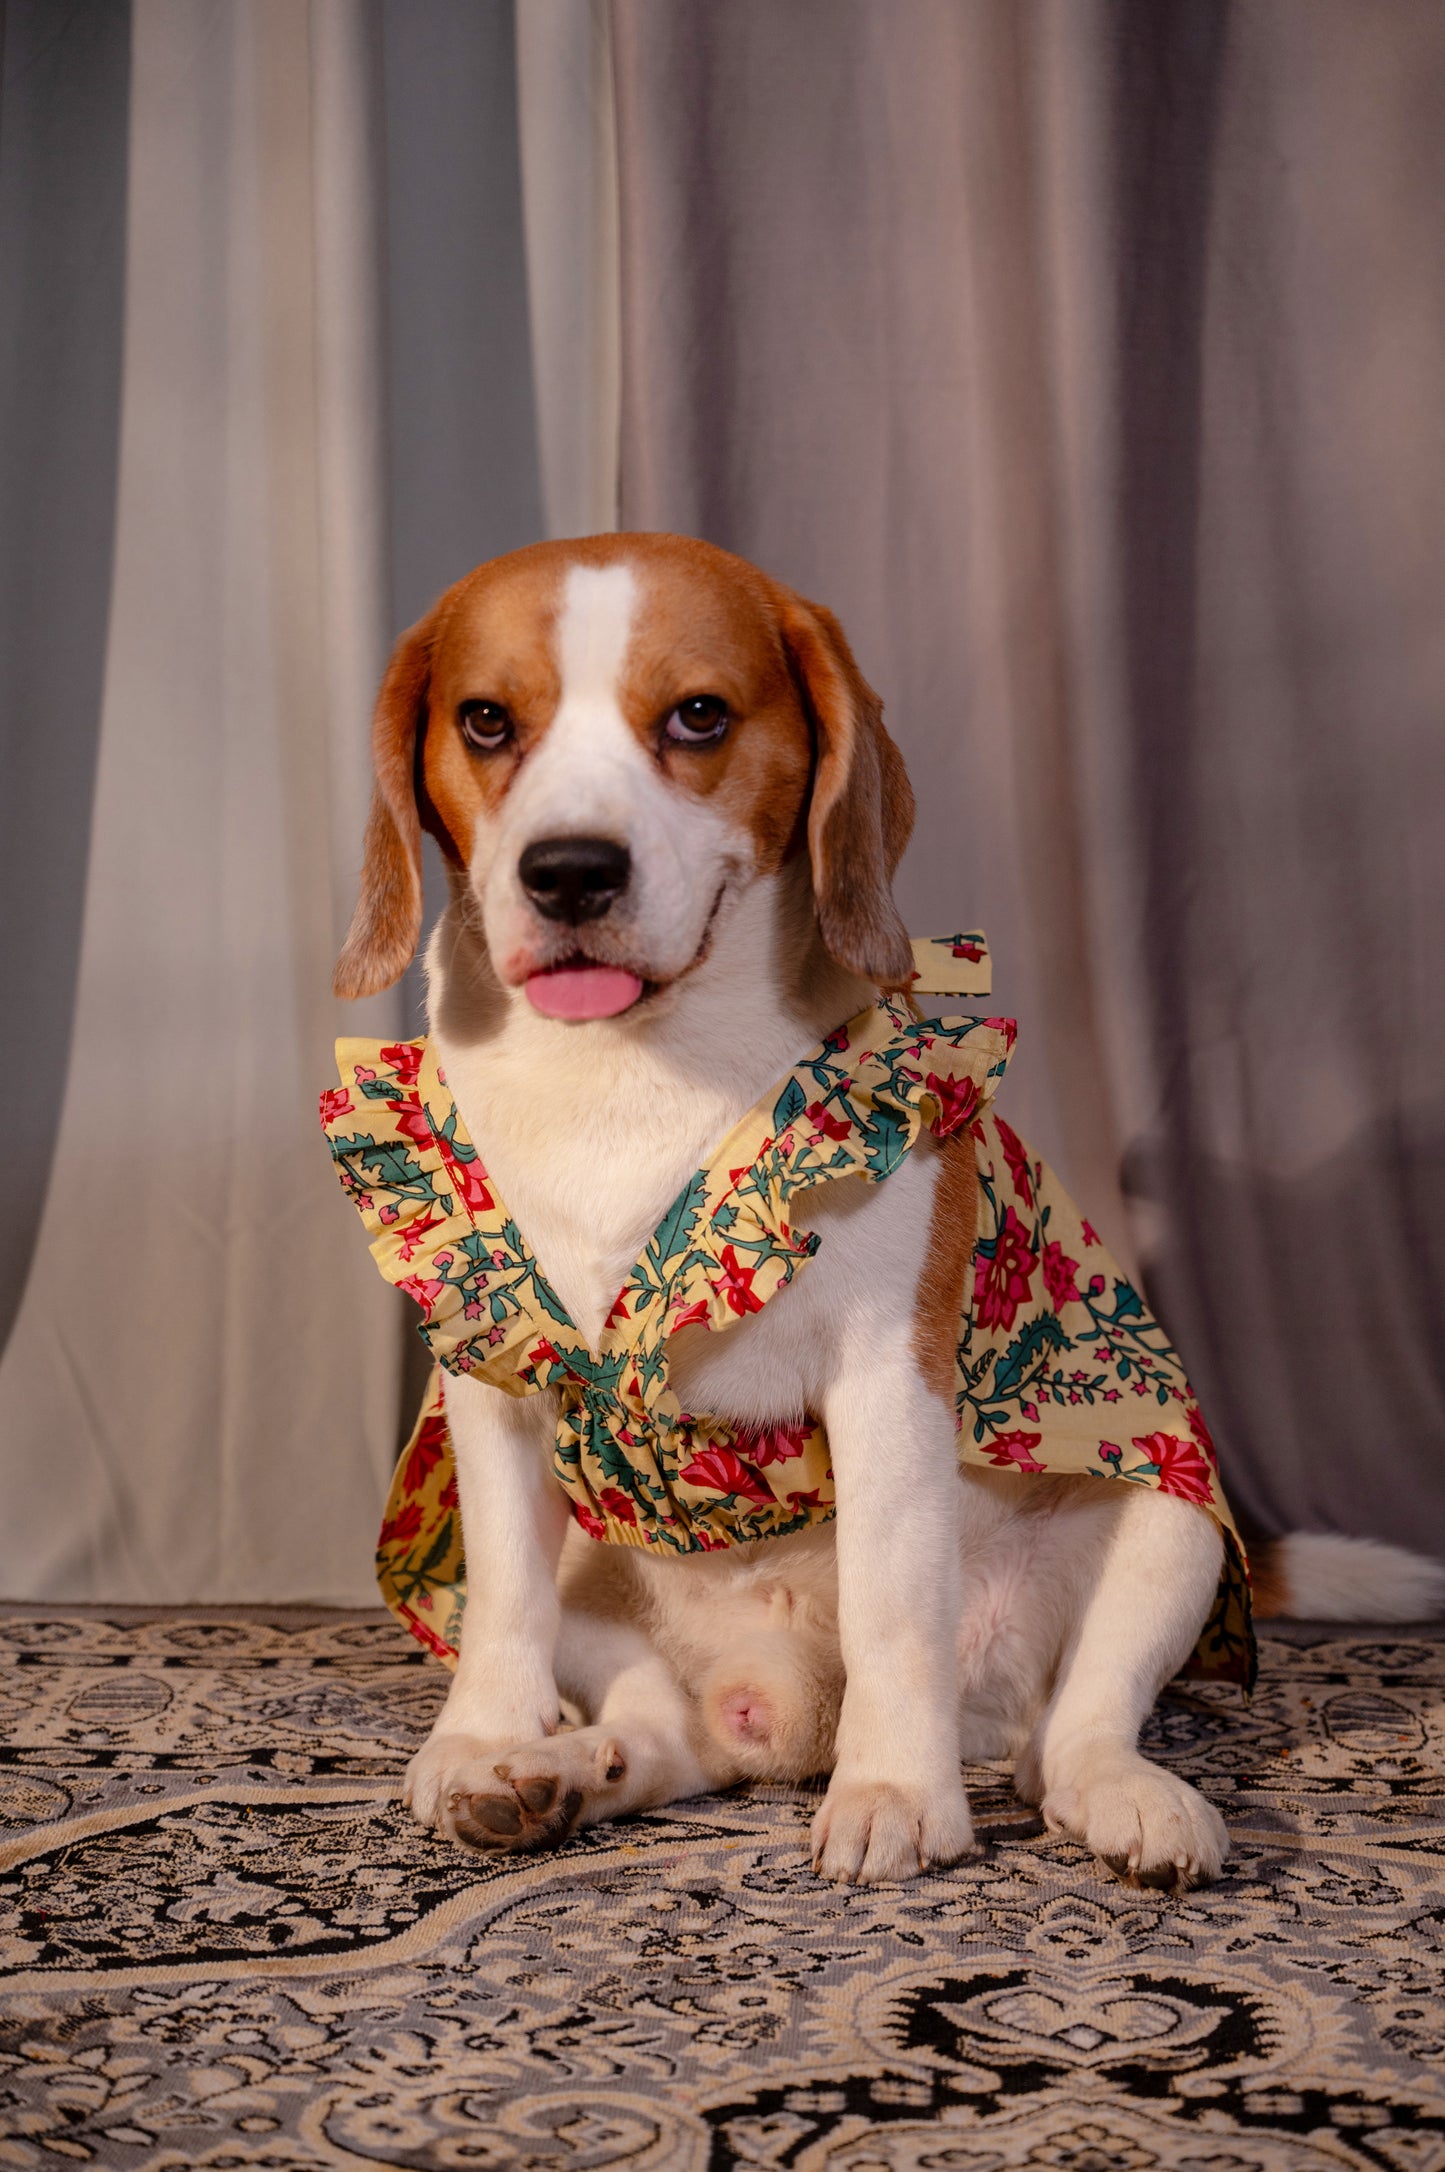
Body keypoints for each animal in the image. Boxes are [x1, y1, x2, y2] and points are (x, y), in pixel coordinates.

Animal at [330, 534, 1442, 1893]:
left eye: (697, 716)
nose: (570, 872)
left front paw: (893, 1794)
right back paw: (561, 1774)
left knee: (1069, 1736)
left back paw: (1120, 1800)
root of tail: (782, 1705)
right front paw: (483, 1738)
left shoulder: (882, 1380)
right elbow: (502, 1593)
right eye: (486, 721)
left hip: (1170, 1517)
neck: (634, 1070)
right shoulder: (490, 1376)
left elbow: (891, 1604)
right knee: (667, 1728)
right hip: (606, 1569)